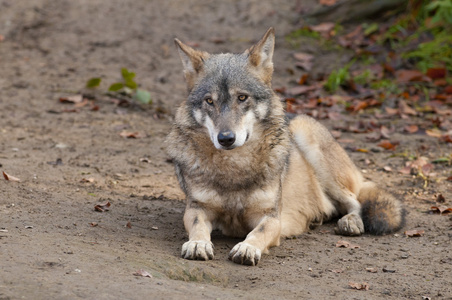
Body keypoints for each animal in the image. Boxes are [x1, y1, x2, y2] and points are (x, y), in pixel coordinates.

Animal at [167, 28, 406, 266]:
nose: (226, 138)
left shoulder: (272, 216)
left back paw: (350, 222)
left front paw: (247, 248)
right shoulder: (197, 208)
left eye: (242, 97)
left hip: (307, 139)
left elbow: (259, 232)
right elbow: (197, 226)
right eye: (209, 101)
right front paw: (198, 244)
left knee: (355, 201)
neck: (234, 167)